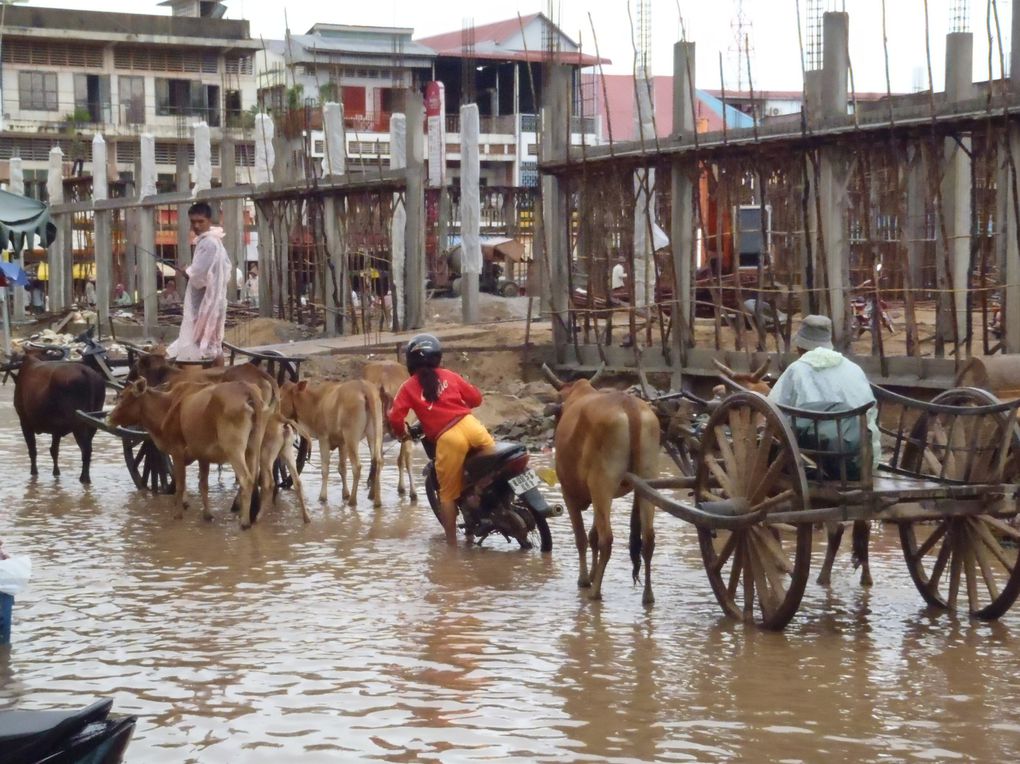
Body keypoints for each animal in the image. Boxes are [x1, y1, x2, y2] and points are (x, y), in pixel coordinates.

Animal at [12, 350, 106, 483]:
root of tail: (86, 372)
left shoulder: (24, 421)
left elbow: (32, 450)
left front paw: (34, 472)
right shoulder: (56, 428)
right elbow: (54, 450)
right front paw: (56, 472)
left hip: (79, 423)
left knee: (86, 450)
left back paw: (84, 478)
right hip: (94, 421)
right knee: (88, 448)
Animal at [109, 379, 267, 526]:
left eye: (122, 396)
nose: (108, 417)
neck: (167, 406)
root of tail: (245, 388)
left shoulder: (177, 450)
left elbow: (180, 483)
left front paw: (178, 514)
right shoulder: (203, 455)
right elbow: (203, 485)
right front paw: (207, 515)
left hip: (234, 450)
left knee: (246, 479)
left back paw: (244, 522)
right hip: (253, 447)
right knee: (255, 478)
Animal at [363, 361, 418, 503]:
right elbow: (403, 459)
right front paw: (405, 490)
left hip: (374, 429)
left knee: (376, 459)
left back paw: (373, 496)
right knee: (405, 457)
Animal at [542, 363, 660, 603]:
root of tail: (629, 404)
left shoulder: (569, 492)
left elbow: (582, 538)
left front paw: (585, 579)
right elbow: (592, 536)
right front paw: (593, 573)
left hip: (602, 484)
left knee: (607, 539)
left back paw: (595, 592)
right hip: (645, 483)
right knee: (648, 539)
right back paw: (648, 595)